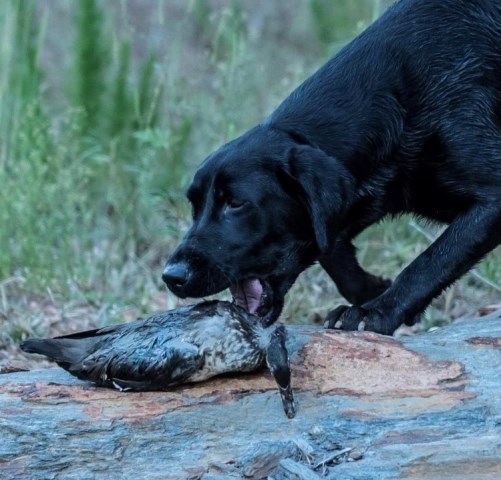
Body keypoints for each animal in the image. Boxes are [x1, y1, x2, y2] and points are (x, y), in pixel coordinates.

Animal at [162, 0, 498, 336]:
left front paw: (376, 311)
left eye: (235, 203)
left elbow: (430, 261)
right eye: (194, 206)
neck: (400, 103)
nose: (171, 276)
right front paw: (373, 289)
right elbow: (332, 252)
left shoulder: (491, 201)